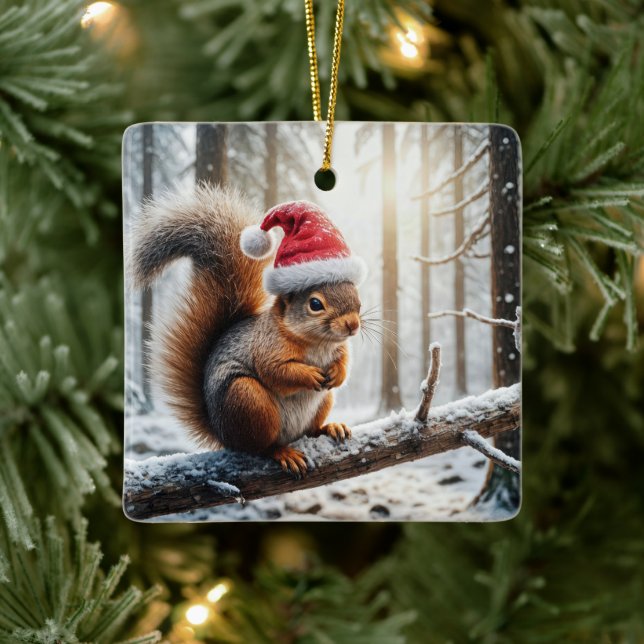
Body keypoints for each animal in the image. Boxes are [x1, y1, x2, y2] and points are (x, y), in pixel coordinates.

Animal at [130, 184, 367, 476]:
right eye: (315, 304)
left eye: (356, 296)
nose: (353, 325)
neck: (318, 342)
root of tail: (222, 435)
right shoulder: (266, 345)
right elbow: (276, 371)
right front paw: (309, 374)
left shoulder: (340, 348)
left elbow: (344, 362)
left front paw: (336, 373)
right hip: (248, 400)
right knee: (259, 446)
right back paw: (282, 452)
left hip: (322, 402)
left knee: (310, 430)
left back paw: (329, 427)